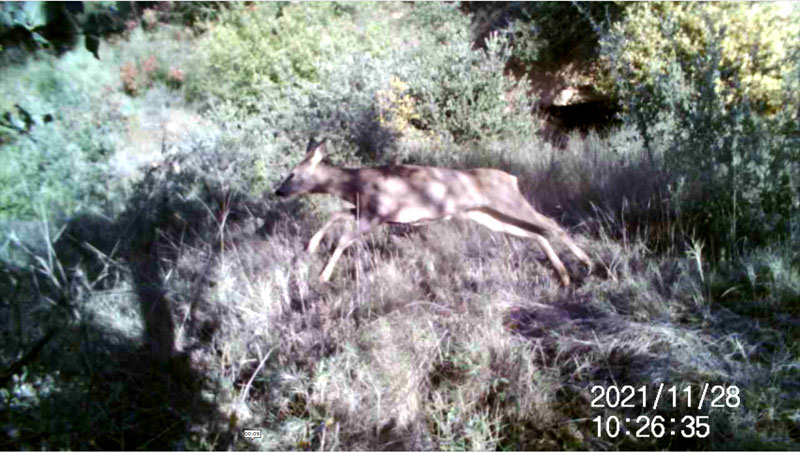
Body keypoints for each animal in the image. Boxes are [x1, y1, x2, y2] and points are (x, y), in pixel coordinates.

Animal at [276, 139, 592, 286]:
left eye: (292, 174)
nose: (278, 191)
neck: (356, 184)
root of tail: (512, 178)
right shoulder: (367, 212)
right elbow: (336, 216)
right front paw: (310, 246)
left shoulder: (377, 214)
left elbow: (342, 239)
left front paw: (322, 275)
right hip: (488, 215)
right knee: (536, 233)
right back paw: (564, 275)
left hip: (508, 201)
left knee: (550, 222)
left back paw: (586, 262)